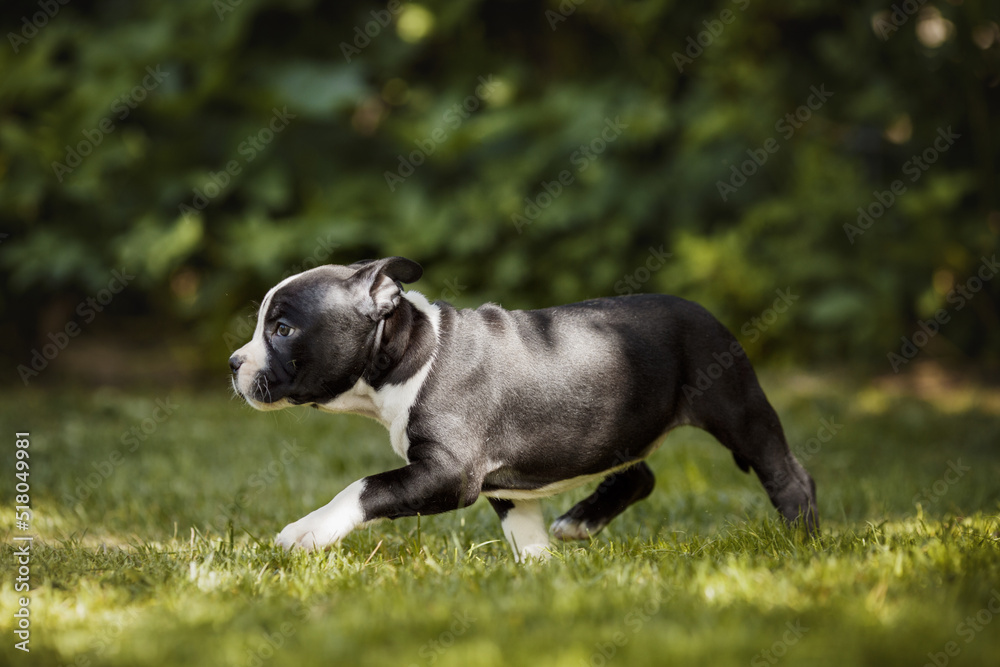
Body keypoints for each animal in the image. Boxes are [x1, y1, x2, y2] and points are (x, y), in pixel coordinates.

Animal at [230, 258, 816, 560]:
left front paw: (308, 531)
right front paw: (538, 575)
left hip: (736, 406)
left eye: (282, 329)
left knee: (787, 471)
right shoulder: (497, 480)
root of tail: (702, 309)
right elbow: (522, 527)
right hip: (615, 426)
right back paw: (580, 522)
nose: (234, 362)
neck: (412, 350)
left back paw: (800, 542)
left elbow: (364, 486)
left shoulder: (448, 471)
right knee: (641, 473)